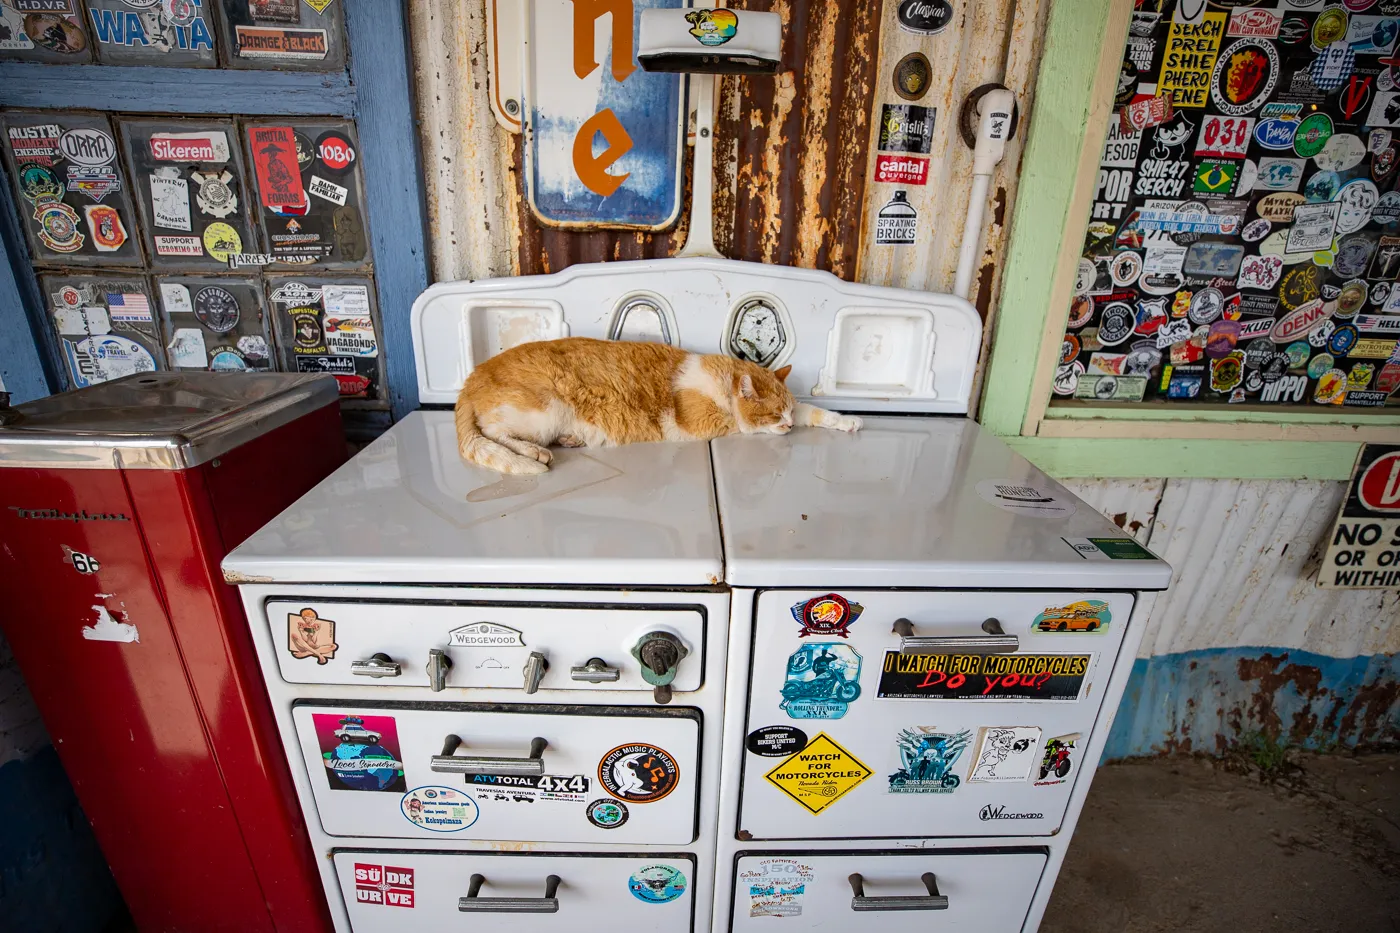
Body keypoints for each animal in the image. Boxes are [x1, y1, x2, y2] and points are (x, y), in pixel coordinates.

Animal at [456, 336, 862, 473]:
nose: (789, 426)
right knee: (493, 432)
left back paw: (570, 440)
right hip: (545, 410)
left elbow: (815, 410)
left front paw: (847, 421)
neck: (720, 380)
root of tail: (473, 376)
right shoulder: (708, 424)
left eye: (788, 413)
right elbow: (743, 427)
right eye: (777, 416)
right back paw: (534, 452)